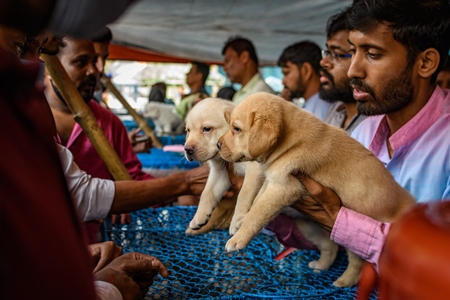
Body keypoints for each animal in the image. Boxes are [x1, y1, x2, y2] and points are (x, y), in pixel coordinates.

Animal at [184, 98, 264, 234]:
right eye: (188, 130)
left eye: (207, 129)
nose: (187, 149)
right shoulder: (220, 171)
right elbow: (207, 193)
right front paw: (199, 217)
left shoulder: (255, 168)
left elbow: (244, 194)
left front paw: (236, 221)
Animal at [217, 91, 414, 286]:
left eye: (236, 129)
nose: (218, 145)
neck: (287, 141)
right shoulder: (273, 179)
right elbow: (257, 200)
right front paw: (242, 218)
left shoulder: (284, 187)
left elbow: (259, 212)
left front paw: (238, 238)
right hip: (310, 228)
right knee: (330, 247)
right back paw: (321, 265)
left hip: (356, 237)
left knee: (357, 264)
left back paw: (343, 281)